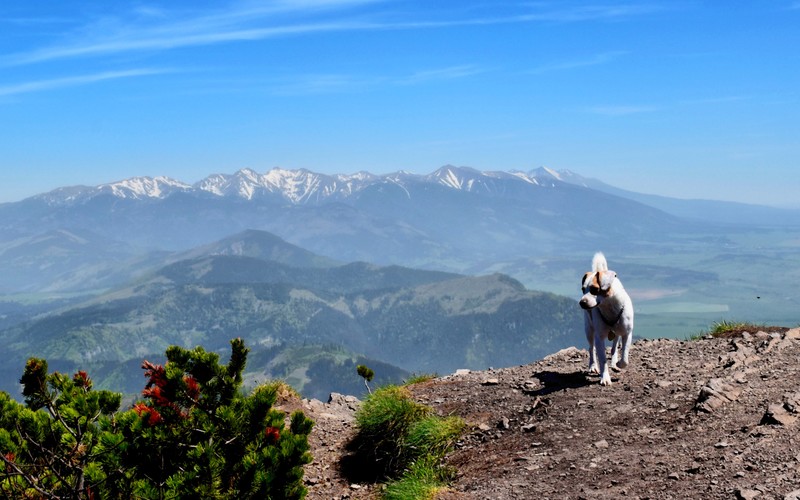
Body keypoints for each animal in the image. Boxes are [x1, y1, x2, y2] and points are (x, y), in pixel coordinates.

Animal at [580, 254, 636, 386]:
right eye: (582, 289)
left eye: (594, 289)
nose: (581, 302)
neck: (610, 308)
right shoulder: (599, 337)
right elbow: (602, 359)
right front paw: (605, 377)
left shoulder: (627, 333)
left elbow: (625, 357)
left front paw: (619, 364)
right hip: (589, 330)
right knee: (591, 348)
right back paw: (592, 365)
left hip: (616, 332)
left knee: (614, 346)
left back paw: (614, 362)